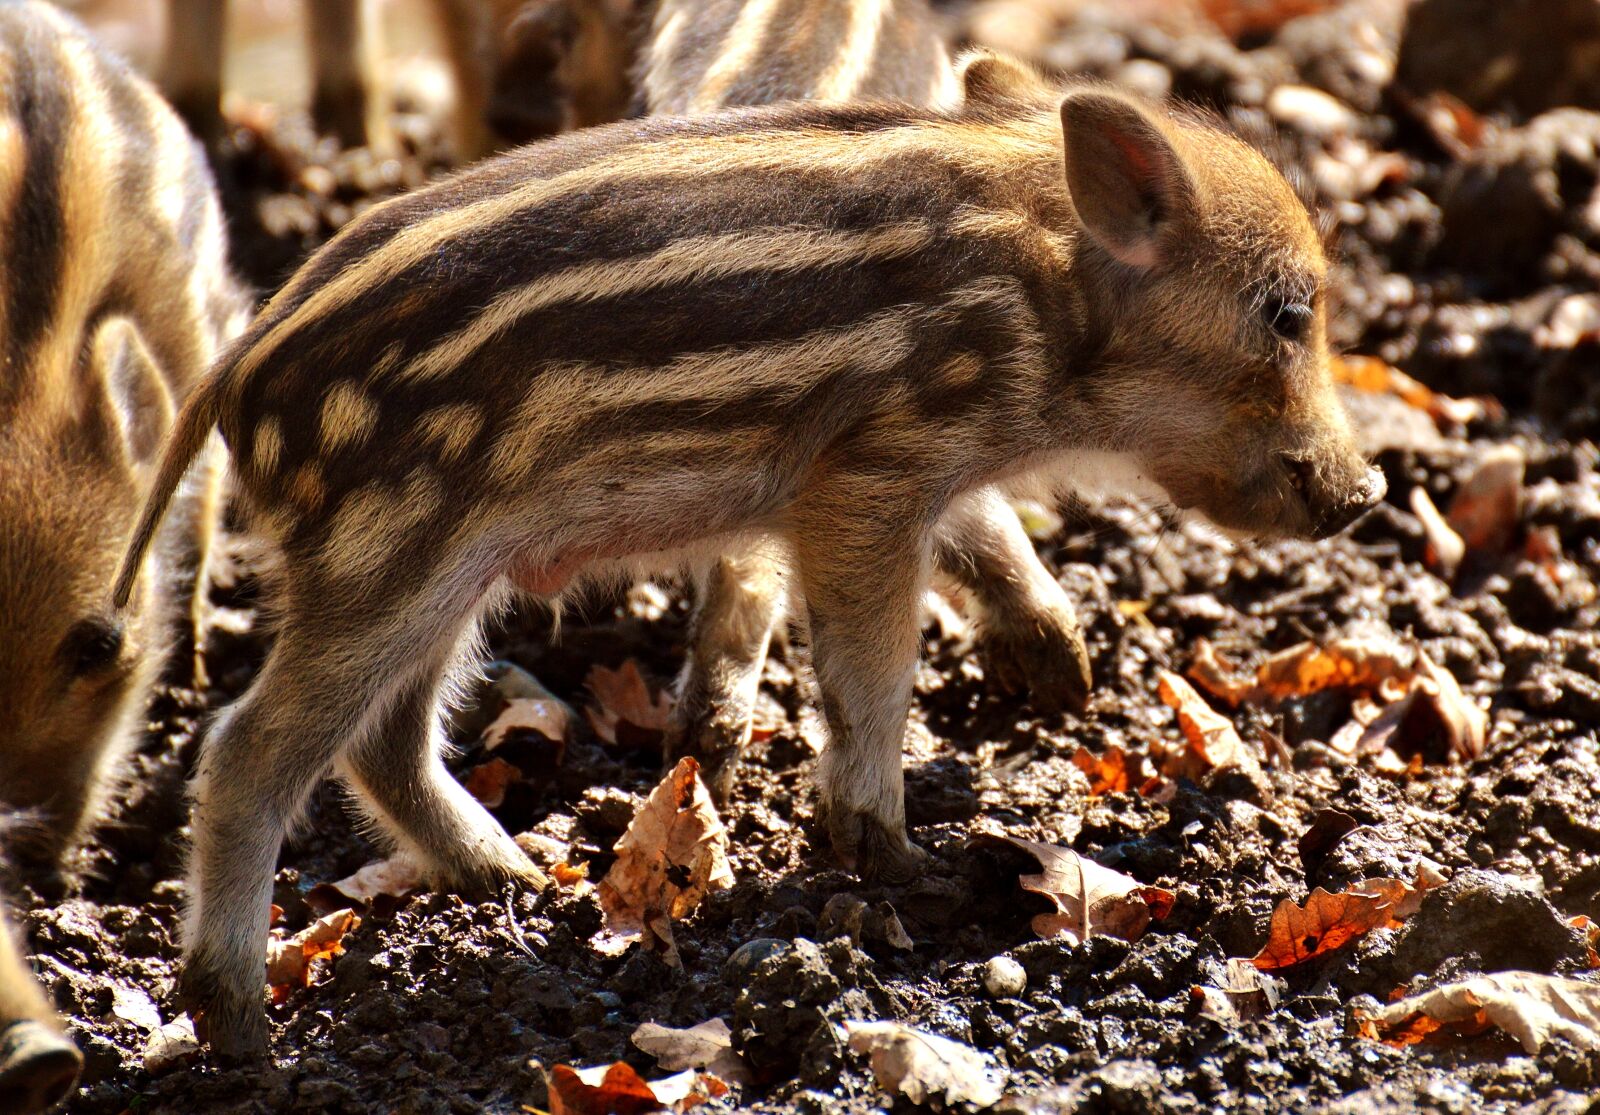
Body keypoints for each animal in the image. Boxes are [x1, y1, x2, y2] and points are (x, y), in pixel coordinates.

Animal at [114, 51, 1384, 1055]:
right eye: (1283, 311)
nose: (1366, 491)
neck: (1039, 299)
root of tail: (234, 374)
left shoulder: (917, 471)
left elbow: (983, 532)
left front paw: (1062, 671)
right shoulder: (863, 480)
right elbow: (874, 671)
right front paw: (897, 861)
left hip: (448, 573)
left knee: (383, 740)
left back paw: (520, 877)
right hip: (390, 556)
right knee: (248, 751)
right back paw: (241, 1026)